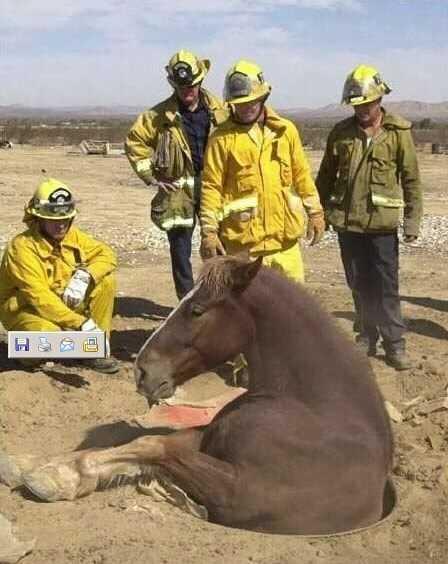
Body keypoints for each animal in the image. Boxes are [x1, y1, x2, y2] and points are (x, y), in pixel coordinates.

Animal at [7, 256, 394, 532]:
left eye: (196, 310)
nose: (141, 371)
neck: (313, 407)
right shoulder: (207, 438)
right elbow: (144, 444)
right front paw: (48, 469)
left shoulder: (238, 491)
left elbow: (154, 447)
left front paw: (56, 476)